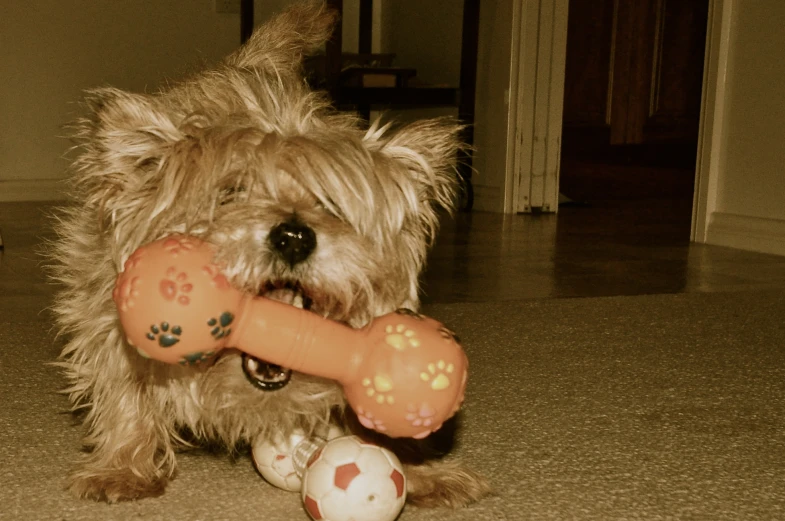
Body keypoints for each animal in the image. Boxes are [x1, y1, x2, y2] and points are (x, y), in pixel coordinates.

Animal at [49, 0, 486, 504]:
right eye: (230, 193)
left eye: (329, 203)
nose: (294, 237)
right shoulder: (104, 307)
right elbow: (122, 383)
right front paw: (122, 466)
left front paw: (418, 470)